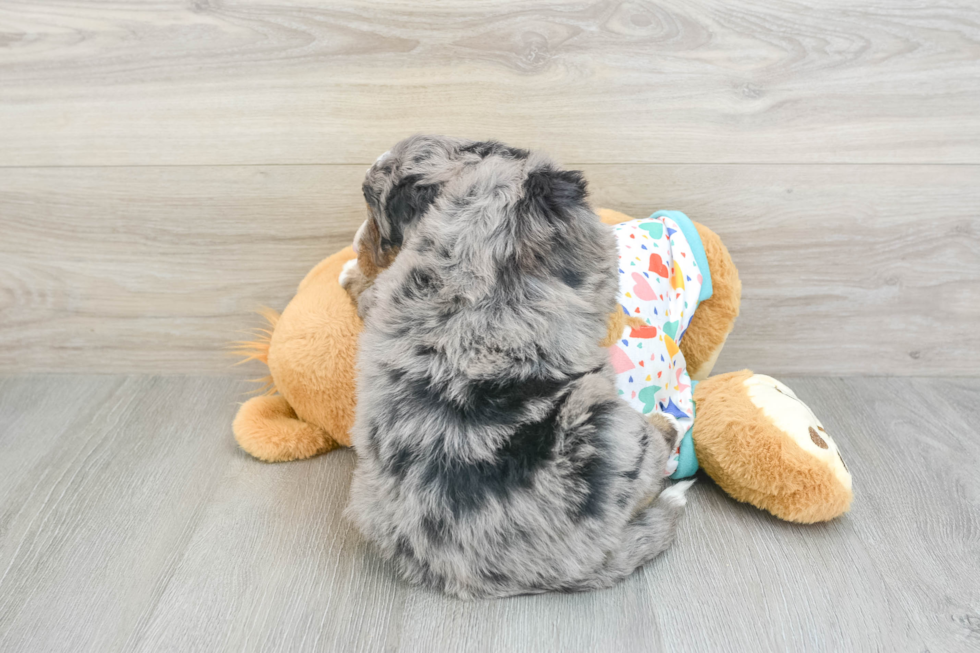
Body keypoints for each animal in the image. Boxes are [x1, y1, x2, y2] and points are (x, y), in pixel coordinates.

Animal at [342, 135, 688, 600]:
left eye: (378, 227)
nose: (356, 244)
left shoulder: (384, 293)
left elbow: (369, 293)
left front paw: (349, 275)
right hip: (605, 424)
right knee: (651, 464)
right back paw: (668, 433)